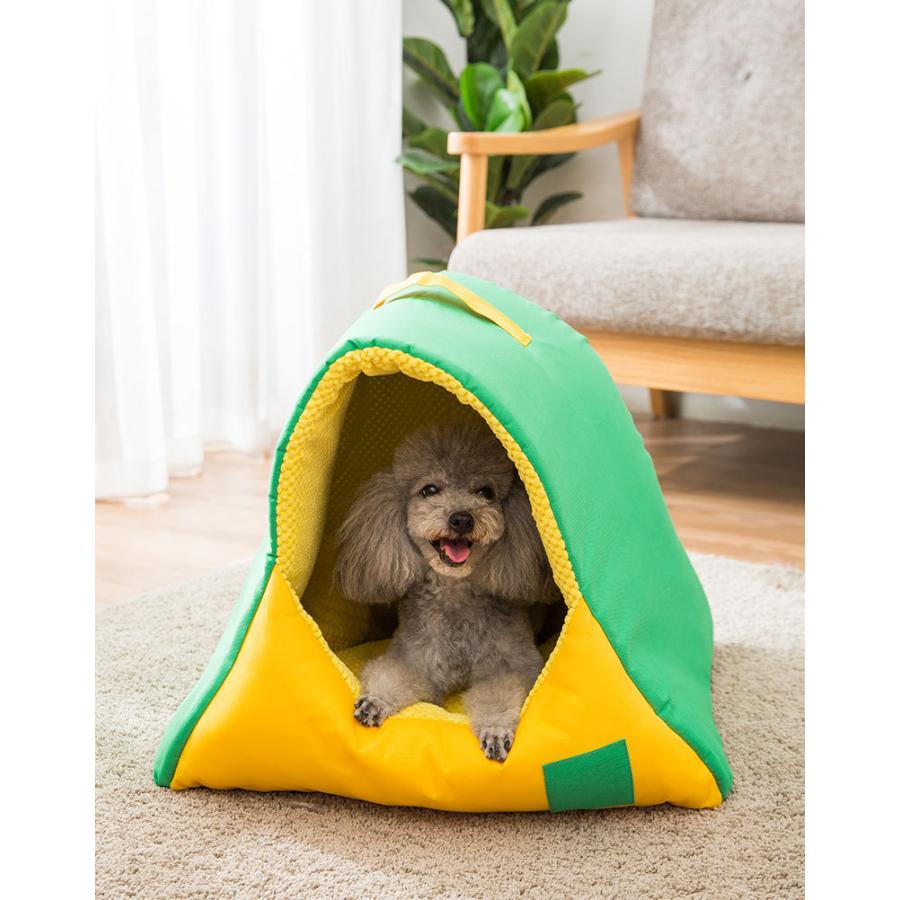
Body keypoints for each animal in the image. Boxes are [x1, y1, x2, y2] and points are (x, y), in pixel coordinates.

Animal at [335, 421, 557, 762]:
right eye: (429, 490)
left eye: (485, 492)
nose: (462, 519)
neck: (456, 596)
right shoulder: (415, 659)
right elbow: (394, 675)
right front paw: (375, 701)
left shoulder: (511, 665)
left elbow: (499, 695)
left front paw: (495, 731)